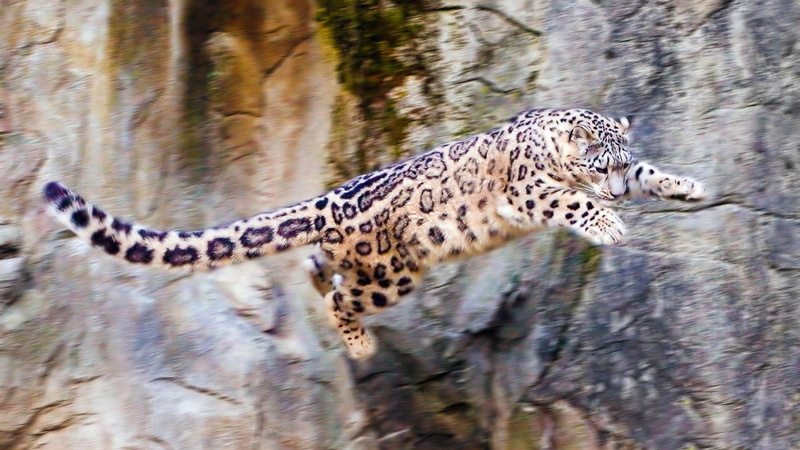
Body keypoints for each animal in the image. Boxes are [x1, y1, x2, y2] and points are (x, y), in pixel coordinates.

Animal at [43, 108, 708, 360]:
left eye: (623, 162)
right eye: (599, 165)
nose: (614, 193)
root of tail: (327, 200)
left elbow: (655, 176)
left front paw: (688, 186)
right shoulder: (529, 189)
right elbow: (566, 198)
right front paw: (610, 224)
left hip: (365, 263)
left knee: (318, 268)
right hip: (394, 273)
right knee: (341, 296)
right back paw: (360, 345)